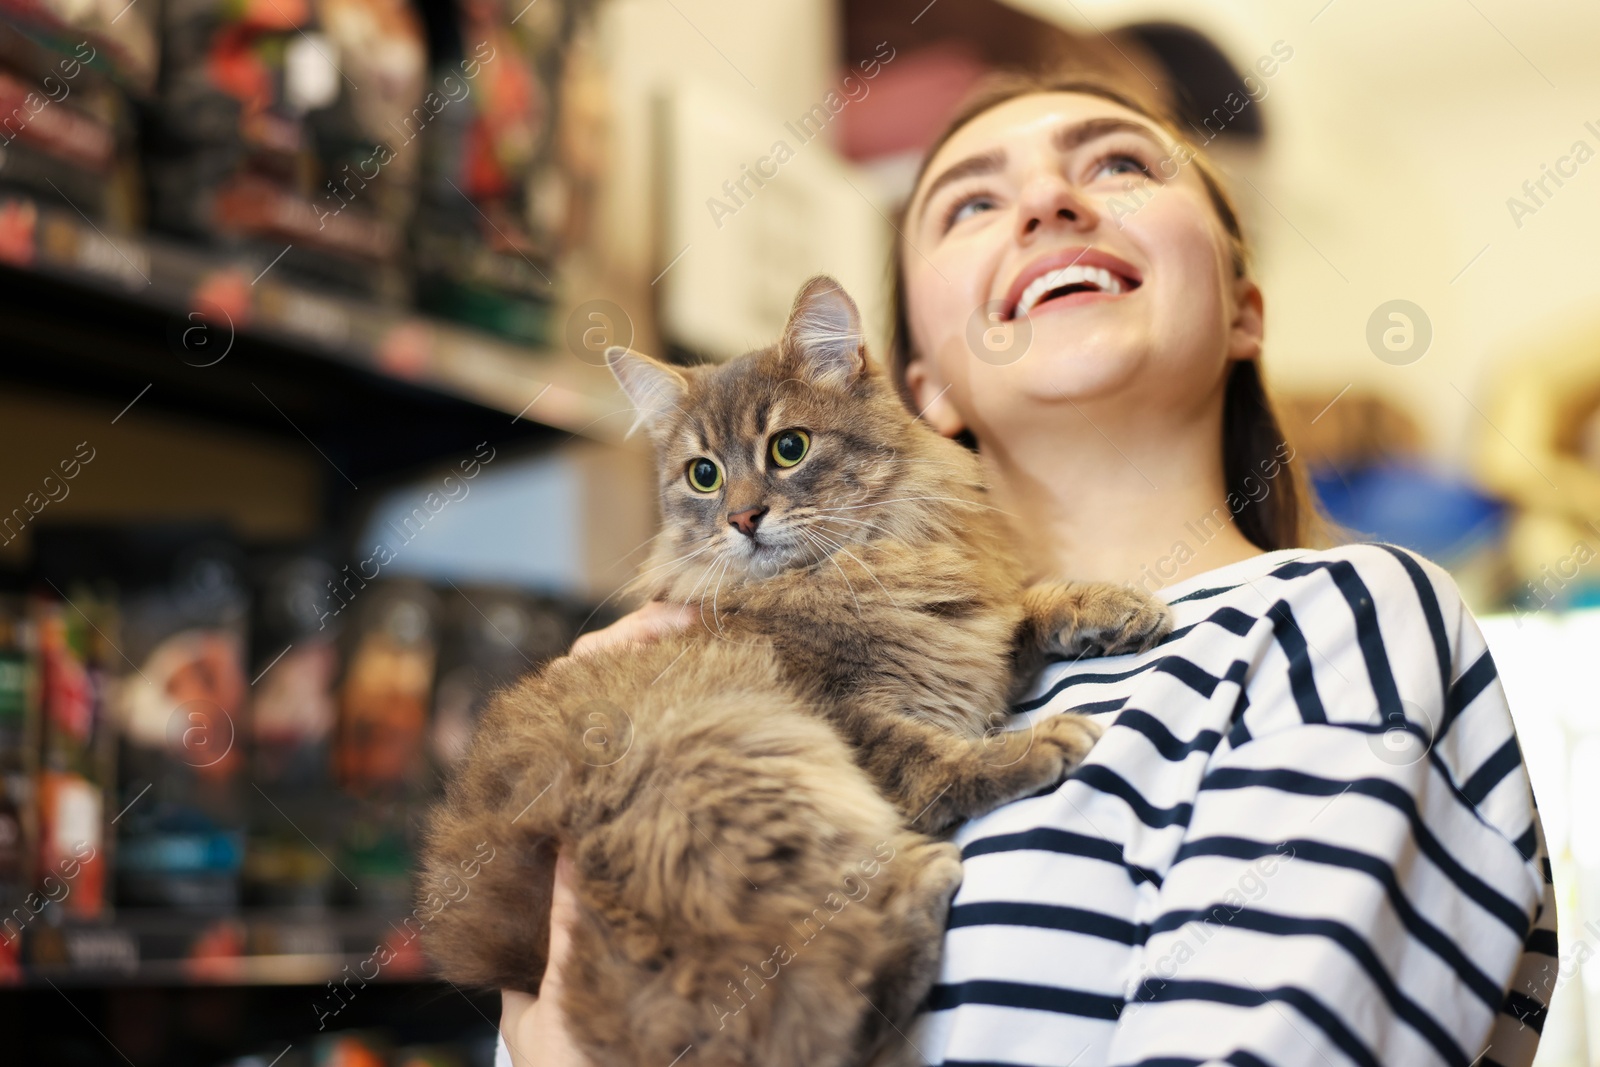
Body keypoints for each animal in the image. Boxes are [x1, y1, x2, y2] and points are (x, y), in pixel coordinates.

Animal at [422, 273, 1177, 1067]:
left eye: (790, 448)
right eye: (704, 475)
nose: (743, 518)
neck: (863, 566)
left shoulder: (974, 636)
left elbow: (1028, 609)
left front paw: (1115, 607)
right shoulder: (846, 714)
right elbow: (938, 761)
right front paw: (1036, 742)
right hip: (738, 753)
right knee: (802, 1013)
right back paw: (924, 883)